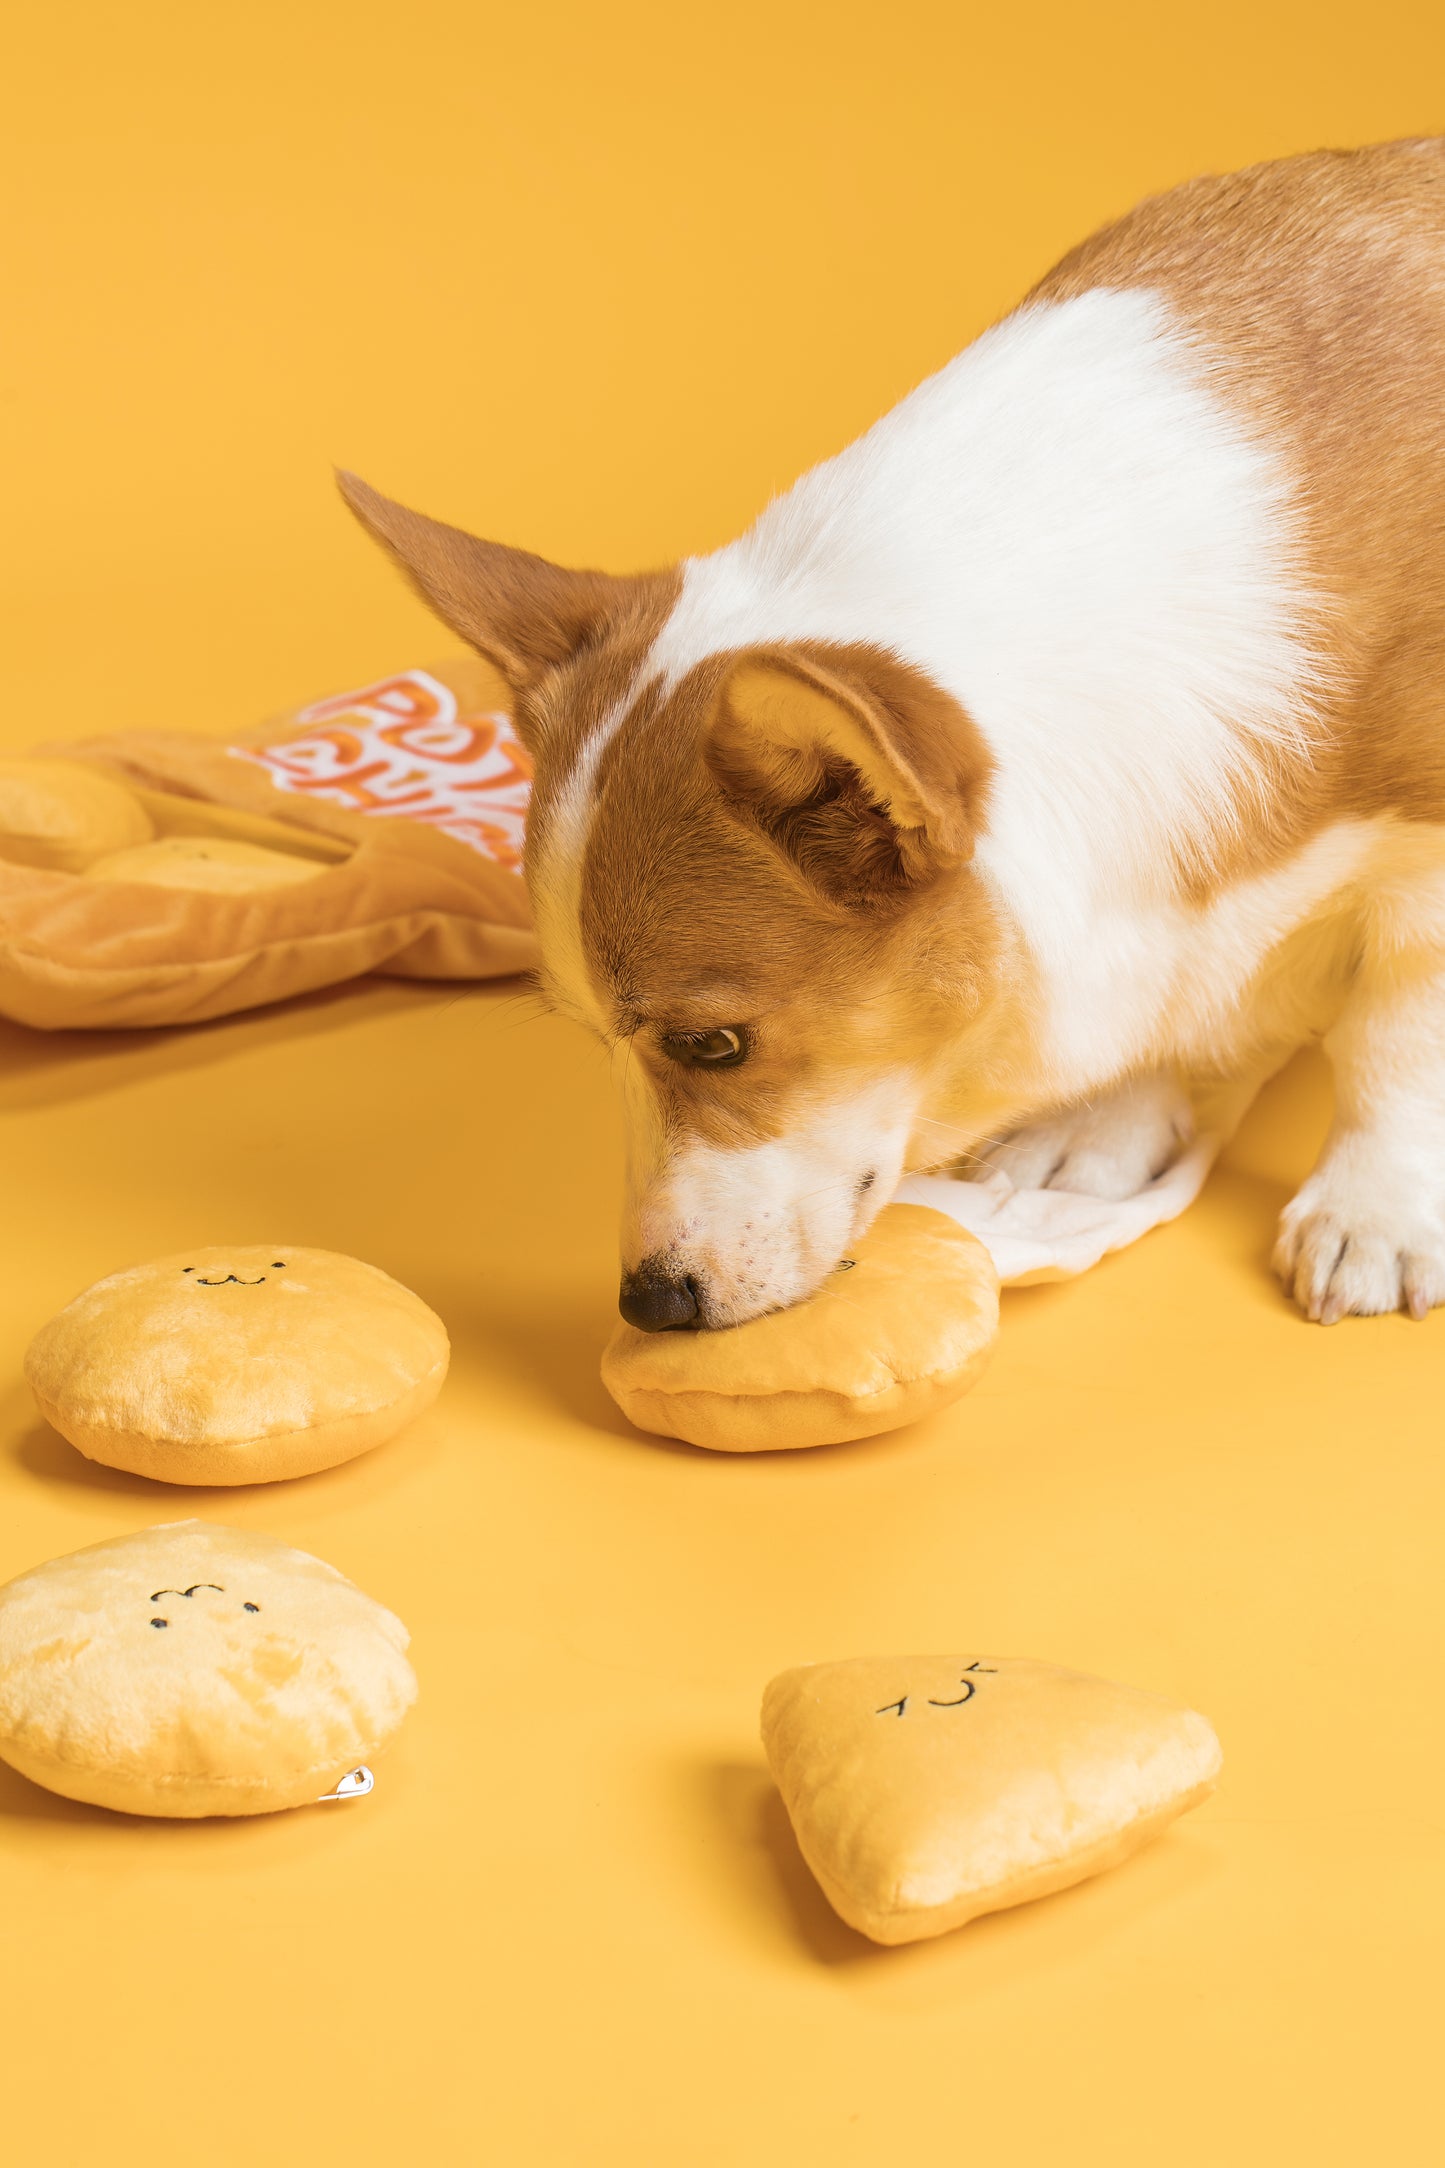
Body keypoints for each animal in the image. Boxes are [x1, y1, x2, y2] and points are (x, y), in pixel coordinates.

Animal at [344, 144, 1445, 1326]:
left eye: (710, 1043)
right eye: (595, 1038)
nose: (650, 1305)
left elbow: (1397, 1027)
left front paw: (1377, 1209)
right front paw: (1104, 1121)